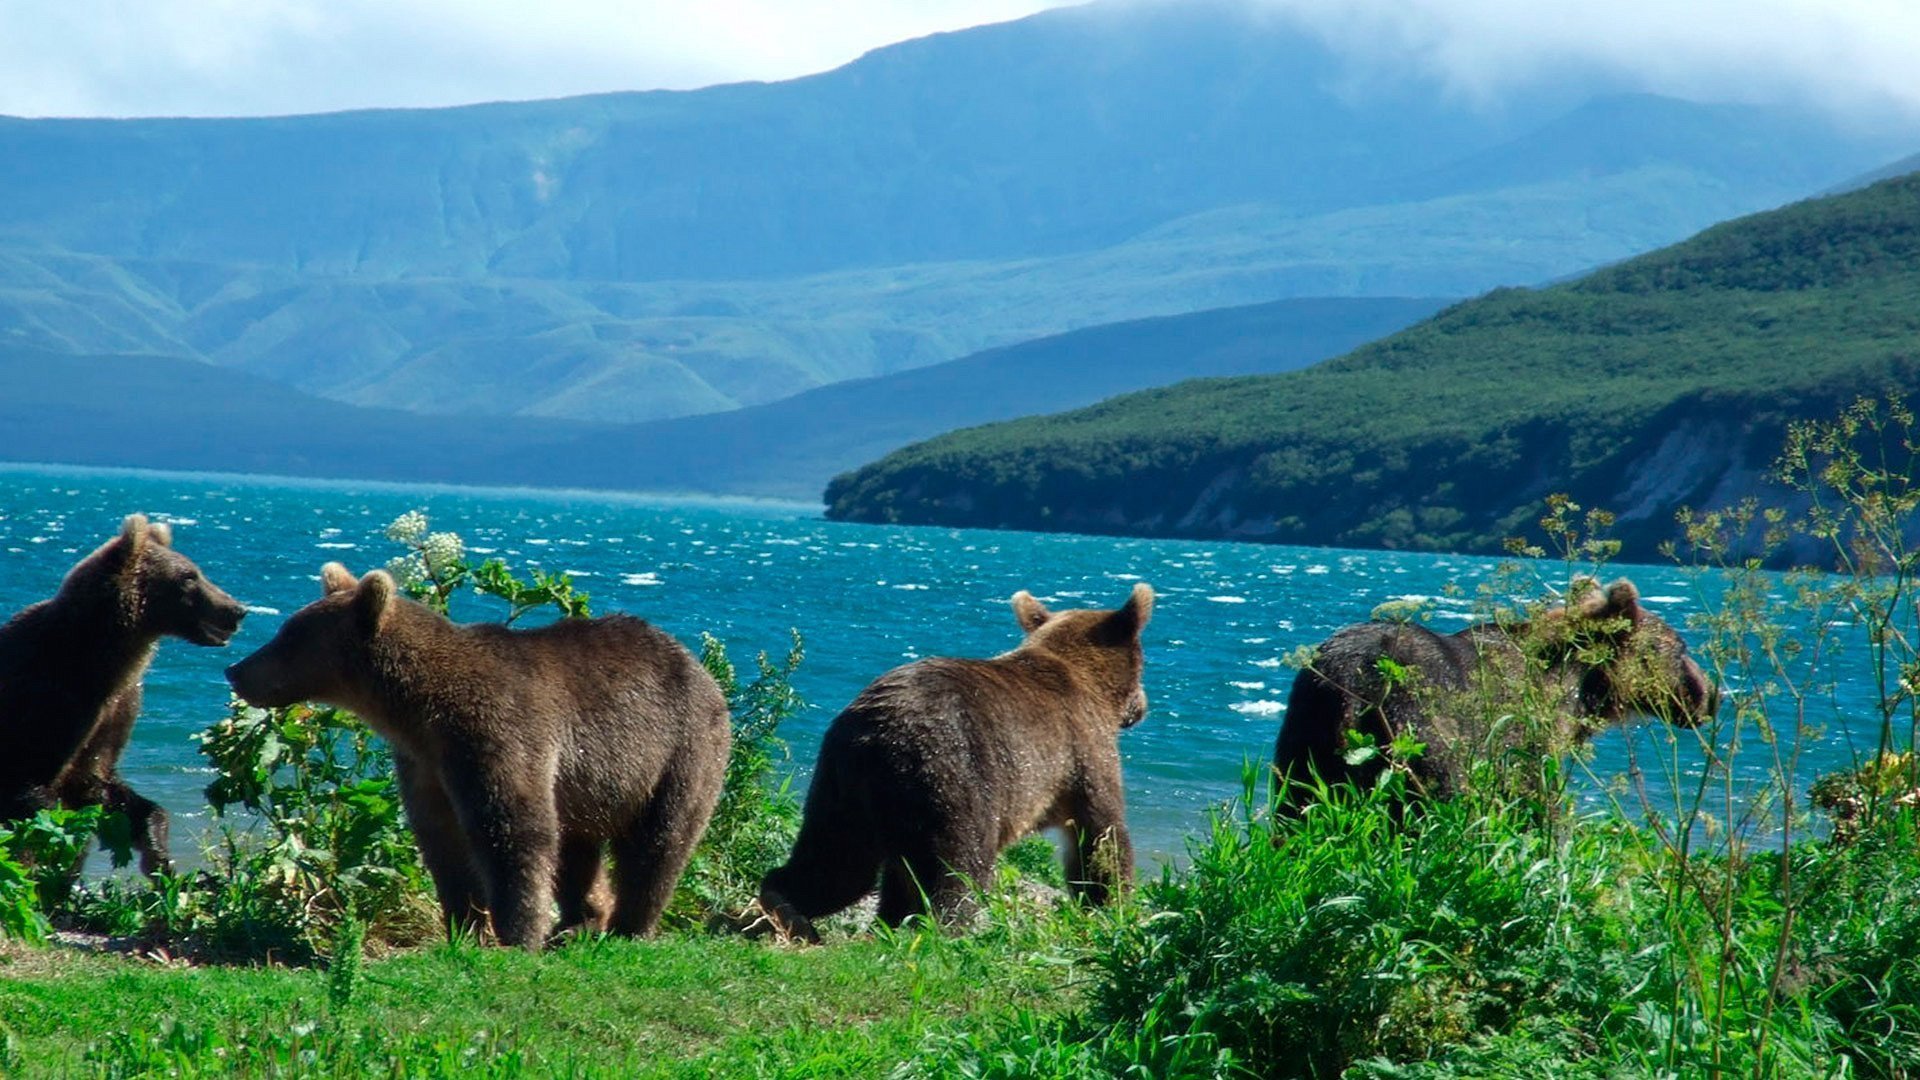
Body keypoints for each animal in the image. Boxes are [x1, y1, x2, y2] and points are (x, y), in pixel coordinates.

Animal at [0, 507, 247, 868]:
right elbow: (31, 792)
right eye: (189, 576)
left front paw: (158, 852)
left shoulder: (117, 707)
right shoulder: (49, 699)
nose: (236, 609)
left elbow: (101, 783)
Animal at [224, 557, 729, 945]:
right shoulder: (425, 761)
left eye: (289, 637)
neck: (416, 709)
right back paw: (579, 922)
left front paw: (516, 934)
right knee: (577, 848)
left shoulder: (495, 735)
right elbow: (441, 838)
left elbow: (512, 830)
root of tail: (699, 667)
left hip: (679, 750)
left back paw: (629, 926)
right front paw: (463, 924)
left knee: (659, 842)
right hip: (589, 783)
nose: (236, 669)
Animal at [756, 576, 1152, 937]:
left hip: (839, 787)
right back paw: (944, 931)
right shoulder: (1082, 750)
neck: (1094, 686)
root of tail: (876, 738)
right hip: (954, 776)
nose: (1143, 707)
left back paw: (786, 905)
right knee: (959, 867)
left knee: (836, 863)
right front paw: (1111, 904)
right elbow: (1102, 832)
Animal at [1274, 576, 1728, 803]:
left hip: (1306, 733)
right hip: (1418, 730)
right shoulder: (1525, 736)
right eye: (1680, 648)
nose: (1712, 696)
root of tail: (1353, 689)